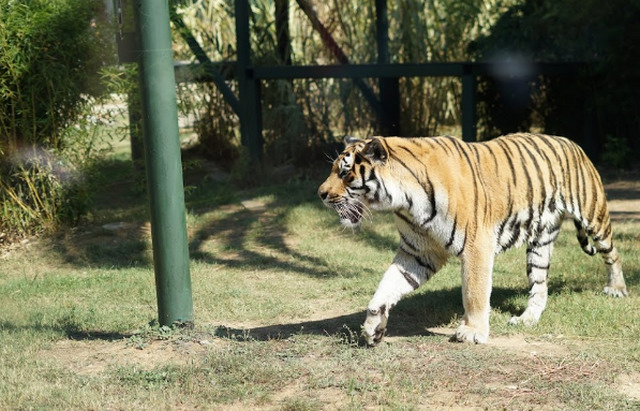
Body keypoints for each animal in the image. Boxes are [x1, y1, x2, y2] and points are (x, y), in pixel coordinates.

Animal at [318, 134, 628, 346]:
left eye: (345, 173)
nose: (320, 194)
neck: (403, 201)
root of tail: (571, 142)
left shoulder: (477, 246)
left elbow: (474, 292)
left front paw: (473, 331)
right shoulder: (417, 252)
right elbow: (386, 286)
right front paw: (373, 327)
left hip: (593, 214)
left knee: (613, 254)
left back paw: (617, 289)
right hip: (539, 244)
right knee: (540, 287)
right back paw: (527, 319)